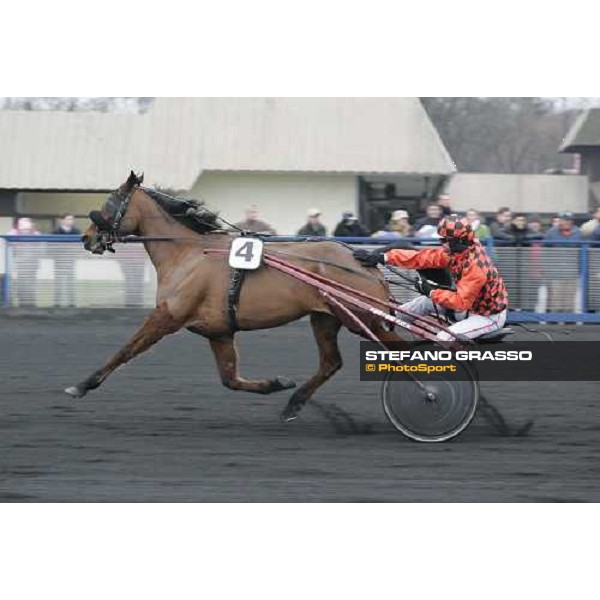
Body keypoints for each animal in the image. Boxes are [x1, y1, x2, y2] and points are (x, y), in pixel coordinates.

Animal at [67, 171, 398, 420]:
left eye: (110, 202)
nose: (86, 237)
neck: (187, 253)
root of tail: (364, 261)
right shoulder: (219, 331)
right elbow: (231, 379)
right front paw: (276, 383)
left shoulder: (166, 316)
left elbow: (126, 350)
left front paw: (83, 384)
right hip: (325, 318)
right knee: (331, 363)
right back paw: (294, 402)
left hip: (365, 319)